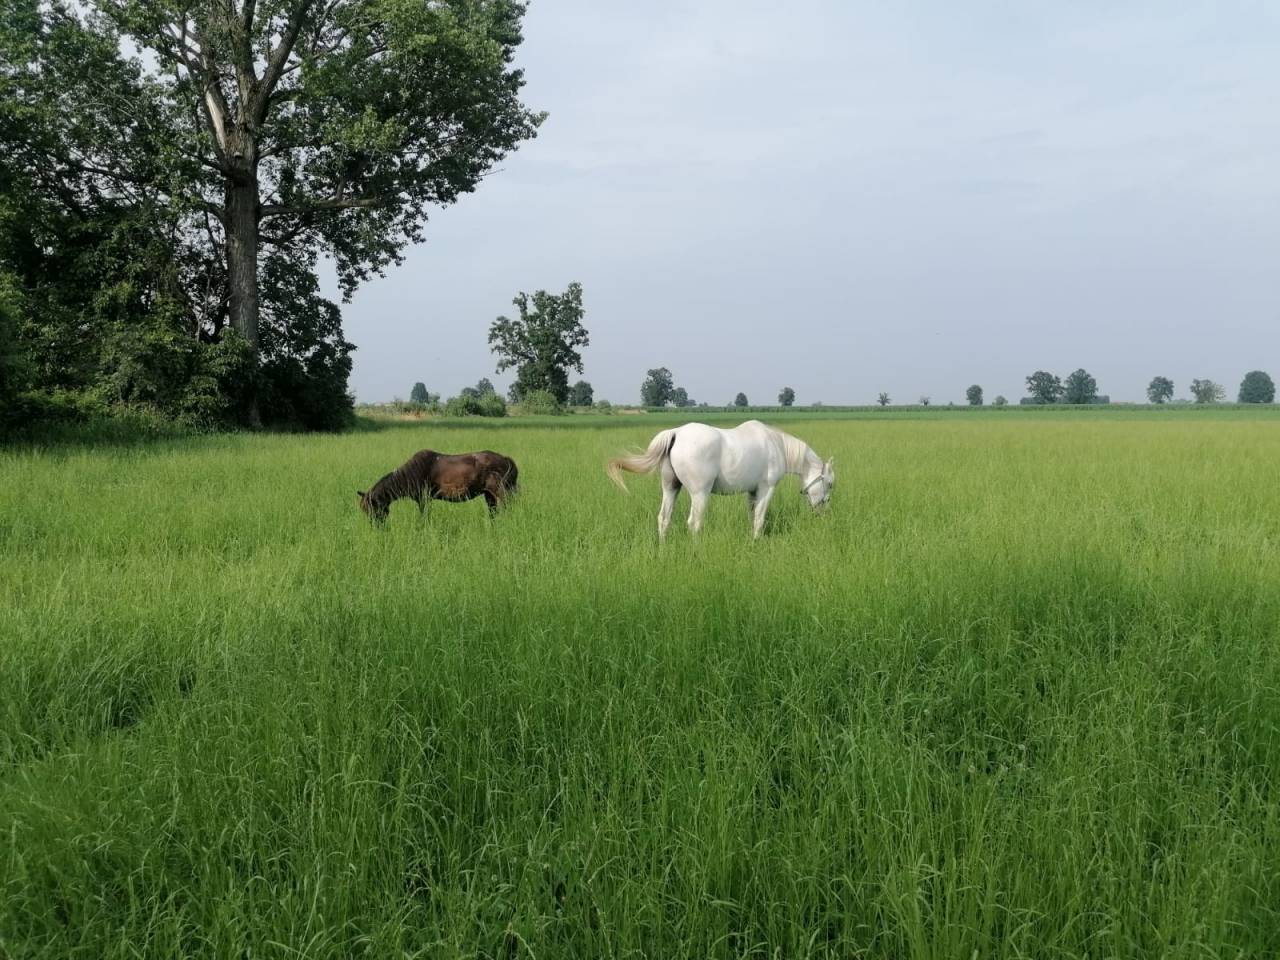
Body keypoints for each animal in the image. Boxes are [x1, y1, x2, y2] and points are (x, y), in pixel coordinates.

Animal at [358, 449, 518, 523]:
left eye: (372, 508)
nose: (378, 527)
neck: (411, 473)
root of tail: (506, 459)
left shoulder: (424, 499)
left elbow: (424, 517)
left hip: (500, 492)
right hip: (489, 495)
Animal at [607, 420, 834, 540]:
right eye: (830, 484)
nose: (823, 512)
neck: (776, 444)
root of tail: (676, 433)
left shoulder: (752, 492)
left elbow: (752, 516)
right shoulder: (766, 489)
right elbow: (759, 518)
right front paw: (756, 540)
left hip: (671, 488)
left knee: (664, 518)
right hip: (700, 494)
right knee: (694, 523)